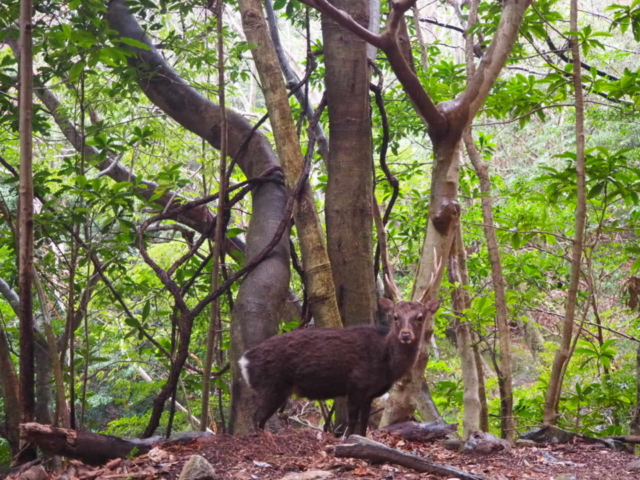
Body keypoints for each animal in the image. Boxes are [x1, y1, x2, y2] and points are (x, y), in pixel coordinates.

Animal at [238, 246, 442, 436]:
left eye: (420, 317)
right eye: (395, 317)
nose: (406, 335)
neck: (386, 365)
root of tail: (244, 360)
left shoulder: (371, 393)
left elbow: (363, 424)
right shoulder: (355, 384)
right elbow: (352, 423)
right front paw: (347, 439)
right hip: (272, 385)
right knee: (256, 417)